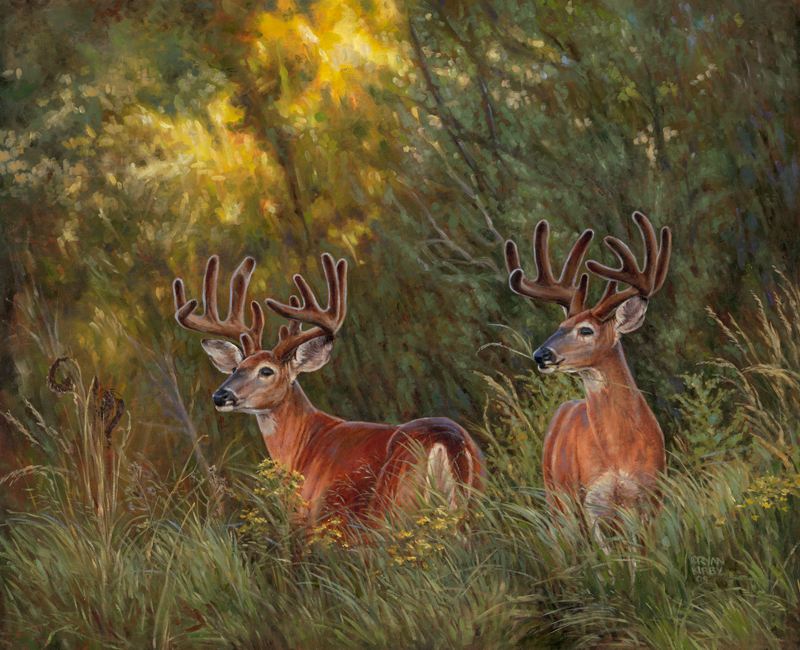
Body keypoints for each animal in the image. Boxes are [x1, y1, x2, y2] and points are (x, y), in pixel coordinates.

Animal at [173, 252, 484, 533]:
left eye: (266, 371)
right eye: (236, 367)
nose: (221, 396)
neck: (303, 446)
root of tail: (448, 442)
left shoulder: (313, 523)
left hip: (393, 511)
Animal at [504, 211, 672, 539]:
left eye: (586, 330)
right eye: (560, 325)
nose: (541, 354)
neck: (618, 450)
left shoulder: (650, 496)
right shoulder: (592, 500)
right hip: (557, 495)